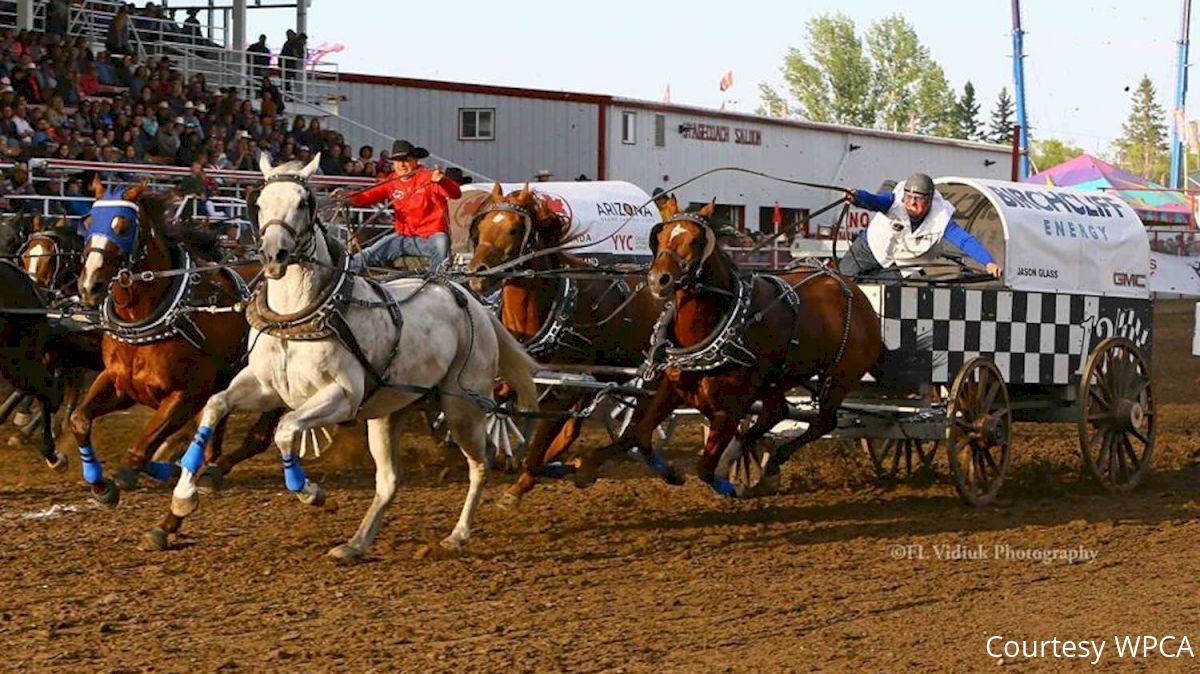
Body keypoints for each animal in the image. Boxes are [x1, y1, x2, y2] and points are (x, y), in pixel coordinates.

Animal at [73, 176, 283, 506]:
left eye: (123, 226)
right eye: (89, 221)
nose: (89, 286)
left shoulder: (186, 394)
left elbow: (138, 453)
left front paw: (152, 470)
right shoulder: (119, 384)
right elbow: (79, 419)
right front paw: (100, 485)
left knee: (258, 437)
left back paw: (213, 472)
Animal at [151, 154, 540, 558]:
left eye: (303, 202)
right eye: (259, 203)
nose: (274, 255)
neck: (298, 316)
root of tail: (472, 303)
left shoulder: (342, 397)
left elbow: (286, 429)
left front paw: (312, 493)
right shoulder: (263, 387)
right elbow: (214, 406)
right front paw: (183, 496)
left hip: (462, 406)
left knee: (480, 464)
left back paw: (457, 535)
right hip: (389, 411)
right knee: (389, 480)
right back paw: (355, 544)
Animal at [463, 181, 667, 501]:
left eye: (514, 229)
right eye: (481, 226)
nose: (477, 276)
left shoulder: (565, 386)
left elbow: (542, 435)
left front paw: (520, 485)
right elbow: (497, 400)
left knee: (639, 428)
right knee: (582, 429)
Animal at [566, 196, 888, 496]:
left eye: (695, 240)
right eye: (661, 235)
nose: (659, 280)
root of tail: (853, 289)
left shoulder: (729, 410)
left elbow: (705, 468)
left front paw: (726, 483)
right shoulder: (672, 387)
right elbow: (638, 434)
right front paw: (590, 467)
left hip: (840, 377)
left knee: (822, 422)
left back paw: (769, 463)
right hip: (778, 379)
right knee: (777, 413)